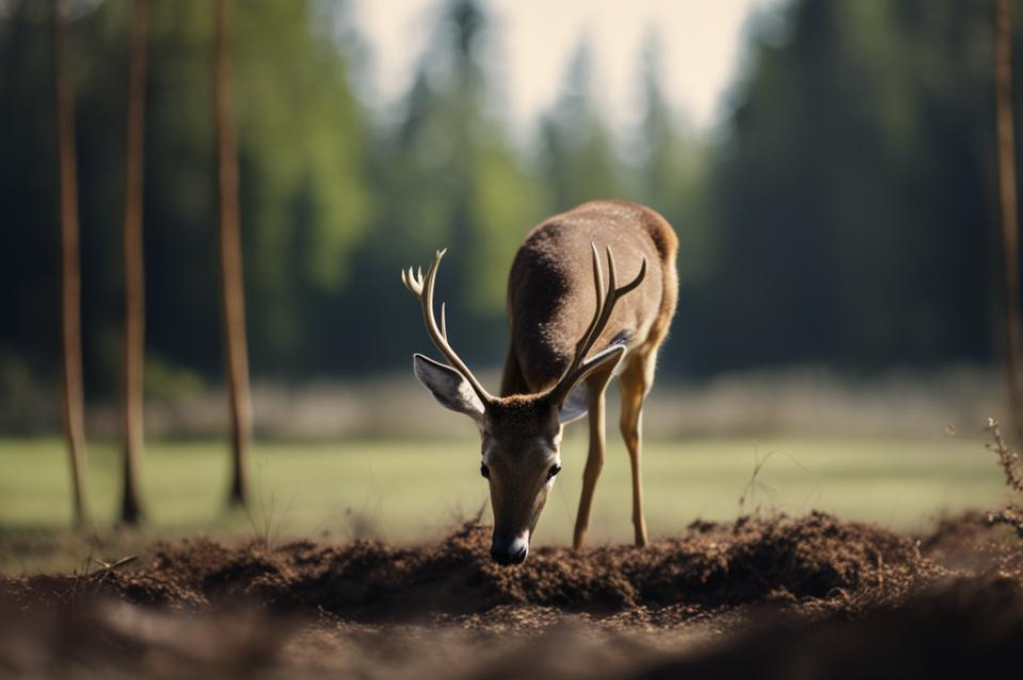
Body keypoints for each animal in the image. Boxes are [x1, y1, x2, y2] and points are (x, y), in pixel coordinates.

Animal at [401, 199, 679, 564]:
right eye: (484, 466)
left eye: (554, 468)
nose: (508, 551)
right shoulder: (513, 345)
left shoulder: (601, 367)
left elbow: (596, 457)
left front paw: (577, 547)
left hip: (649, 345)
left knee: (631, 432)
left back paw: (641, 539)